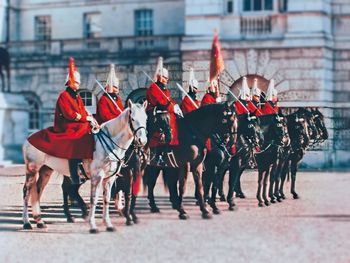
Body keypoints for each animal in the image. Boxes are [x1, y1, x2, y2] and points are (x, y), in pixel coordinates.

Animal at [21, 100, 148, 233]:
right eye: (133, 119)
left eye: (145, 118)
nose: (142, 140)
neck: (110, 143)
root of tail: (29, 138)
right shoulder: (97, 177)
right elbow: (94, 199)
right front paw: (93, 225)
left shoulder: (110, 178)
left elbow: (107, 199)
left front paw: (108, 224)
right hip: (32, 169)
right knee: (27, 192)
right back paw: (27, 222)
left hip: (46, 170)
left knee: (38, 191)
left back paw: (39, 221)